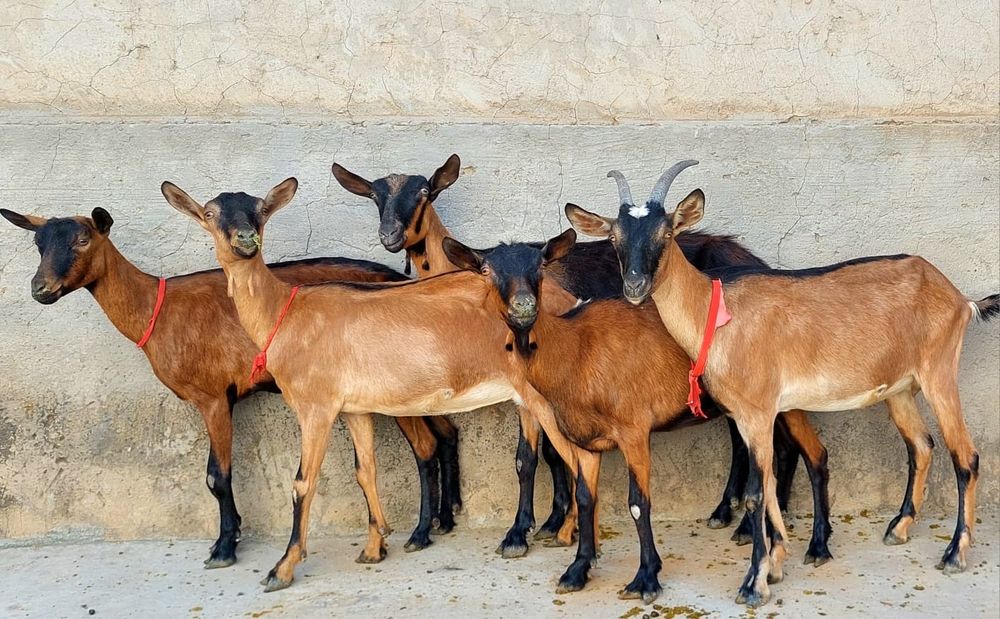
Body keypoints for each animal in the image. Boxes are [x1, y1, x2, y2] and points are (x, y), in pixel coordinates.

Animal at [0, 207, 462, 566]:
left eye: (82, 239)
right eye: (39, 244)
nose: (40, 289)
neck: (156, 309)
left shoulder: (214, 397)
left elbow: (216, 477)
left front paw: (224, 546)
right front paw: (233, 534)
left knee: (424, 447)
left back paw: (421, 532)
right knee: (445, 432)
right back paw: (446, 515)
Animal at [159, 177, 585, 592]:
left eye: (261, 210)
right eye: (210, 213)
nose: (246, 240)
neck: (287, 313)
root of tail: (568, 302)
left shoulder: (316, 407)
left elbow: (302, 483)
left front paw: (282, 567)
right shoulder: (355, 409)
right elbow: (365, 471)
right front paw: (374, 545)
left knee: (577, 456)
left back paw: (564, 543)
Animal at [331, 155, 819, 555]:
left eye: (425, 192)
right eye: (375, 196)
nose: (390, 235)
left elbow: (530, 457)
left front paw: (526, 531)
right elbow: (553, 453)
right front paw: (555, 522)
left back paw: (749, 521)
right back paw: (731, 513)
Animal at [441, 231, 830, 603]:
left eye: (539, 266)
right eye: (486, 271)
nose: (523, 306)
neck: (575, 350)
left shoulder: (633, 430)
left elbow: (638, 504)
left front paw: (646, 578)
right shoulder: (584, 438)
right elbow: (583, 494)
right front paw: (578, 567)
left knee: (809, 453)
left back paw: (810, 543)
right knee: (769, 448)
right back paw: (747, 521)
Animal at [566, 160, 998, 607]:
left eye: (666, 233)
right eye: (614, 236)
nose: (634, 286)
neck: (716, 312)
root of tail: (958, 297)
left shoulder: (758, 413)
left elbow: (757, 493)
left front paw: (753, 583)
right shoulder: (747, 416)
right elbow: (770, 486)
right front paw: (774, 566)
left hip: (939, 374)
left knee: (966, 456)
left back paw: (955, 553)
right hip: (898, 389)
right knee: (922, 446)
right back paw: (899, 527)